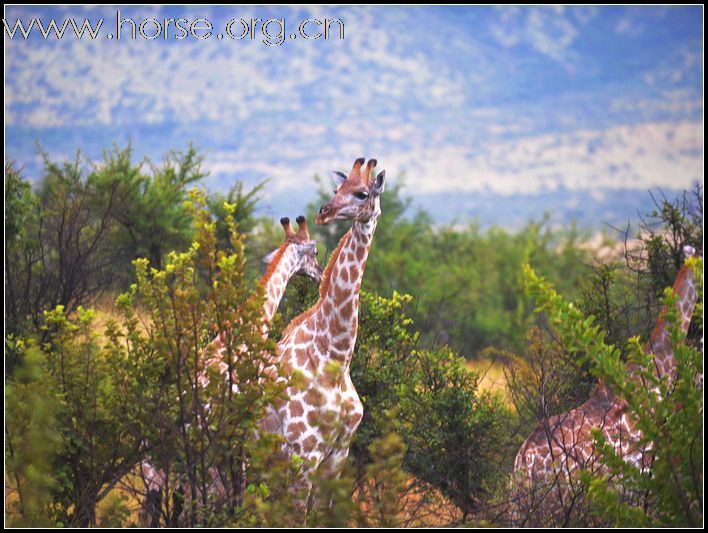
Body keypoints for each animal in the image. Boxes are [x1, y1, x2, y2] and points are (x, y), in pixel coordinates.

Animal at [258, 156, 384, 512]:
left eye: (362, 193)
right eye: (336, 188)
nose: (324, 212)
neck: (335, 356)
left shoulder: (338, 454)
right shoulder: (303, 453)